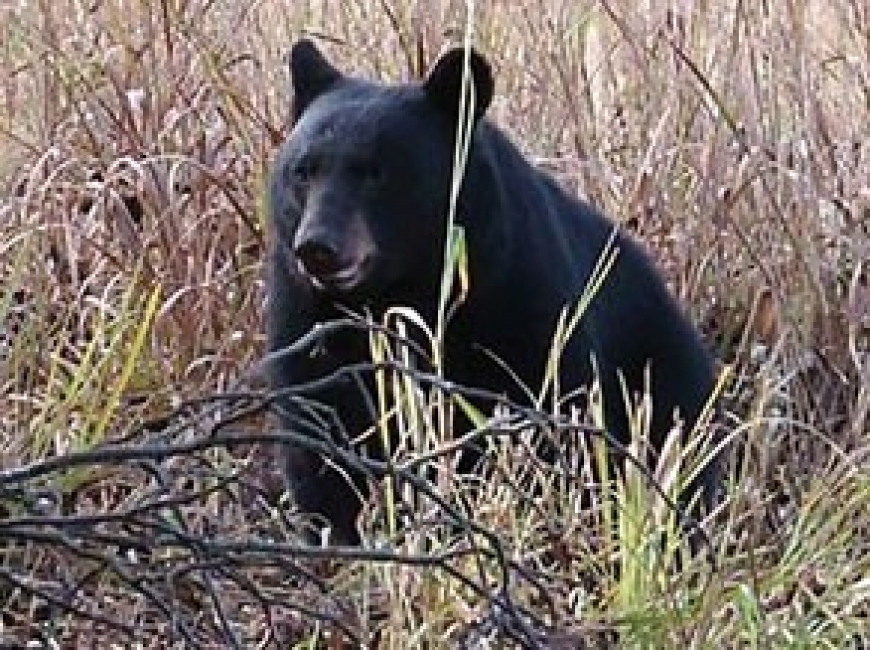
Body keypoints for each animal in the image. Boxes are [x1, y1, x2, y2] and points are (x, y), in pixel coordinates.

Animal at [268, 39, 724, 540]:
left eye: (374, 172)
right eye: (303, 171)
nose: (317, 247)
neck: (404, 287)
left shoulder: (521, 300)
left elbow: (547, 417)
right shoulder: (307, 321)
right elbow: (320, 439)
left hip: (665, 382)